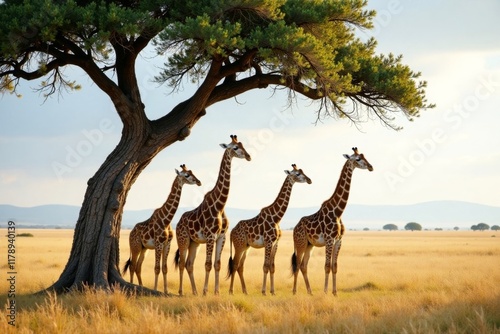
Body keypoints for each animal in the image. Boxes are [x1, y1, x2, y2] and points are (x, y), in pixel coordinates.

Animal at [123, 164, 201, 292]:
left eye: (192, 171)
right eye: (186, 175)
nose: (199, 182)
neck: (166, 220)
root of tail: (131, 233)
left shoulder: (167, 244)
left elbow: (164, 268)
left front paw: (166, 290)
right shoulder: (158, 243)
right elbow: (156, 268)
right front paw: (155, 289)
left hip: (144, 249)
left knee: (138, 266)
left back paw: (141, 286)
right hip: (135, 247)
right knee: (132, 266)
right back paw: (132, 286)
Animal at [175, 134, 252, 296]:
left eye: (242, 145)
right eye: (235, 147)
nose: (248, 156)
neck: (220, 205)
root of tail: (178, 223)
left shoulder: (221, 236)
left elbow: (217, 264)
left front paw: (216, 291)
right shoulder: (210, 236)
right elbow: (208, 264)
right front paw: (205, 291)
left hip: (194, 242)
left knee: (189, 264)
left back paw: (194, 291)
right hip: (183, 239)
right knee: (182, 263)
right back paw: (181, 291)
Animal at [228, 164, 312, 294]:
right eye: (297, 173)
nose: (309, 180)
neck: (277, 217)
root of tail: (232, 231)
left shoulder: (275, 243)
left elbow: (272, 267)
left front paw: (272, 291)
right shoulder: (268, 242)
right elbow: (265, 266)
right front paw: (263, 291)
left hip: (246, 247)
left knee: (240, 266)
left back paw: (245, 291)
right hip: (239, 246)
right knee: (235, 264)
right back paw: (231, 291)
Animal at [290, 147, 372, 294]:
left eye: (364, 156)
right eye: (358, 159)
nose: (370, 167)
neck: (338, 212)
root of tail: (294, 228)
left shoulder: (338, 240)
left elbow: (335, 266)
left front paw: (335, 293)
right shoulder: (329, 239)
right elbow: (327, 266)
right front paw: (325, 292)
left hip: (309, 245)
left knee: (304, 265)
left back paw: (310, 292)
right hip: (300, 243)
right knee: (298, 265)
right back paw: (294, 292)